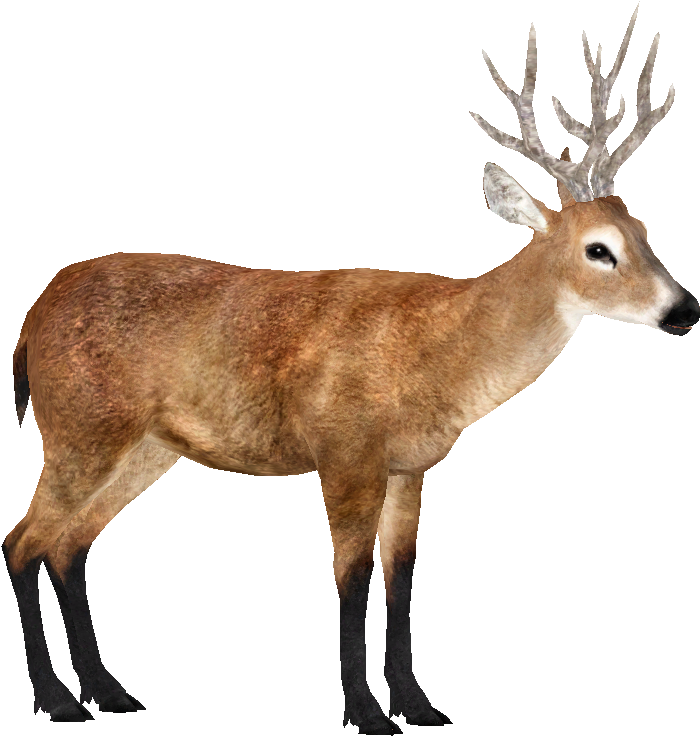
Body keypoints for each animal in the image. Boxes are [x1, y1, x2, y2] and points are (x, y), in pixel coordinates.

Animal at [4, 3, 697, 732]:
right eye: (598, 250)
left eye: (645, 231)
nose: (687, 308)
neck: (438, 358)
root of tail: (32, 317)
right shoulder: (343, 451)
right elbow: (352, 577)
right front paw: (366, 712)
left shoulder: (410, 465)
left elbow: (403, 577)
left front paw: (418, 705)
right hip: (77, 428)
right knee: (23, 542)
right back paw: (58, 700)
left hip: (145, 447)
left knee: (70, 543)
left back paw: (106, 692)